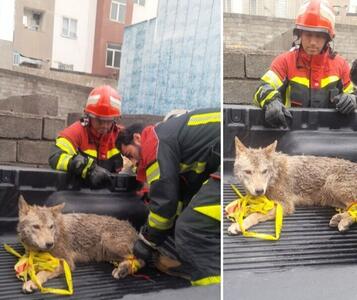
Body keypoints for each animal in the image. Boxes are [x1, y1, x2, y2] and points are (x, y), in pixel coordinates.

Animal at [15, 196, 143, 294]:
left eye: (51, 227)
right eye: (36, 226)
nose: (50, 244)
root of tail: (134, 230)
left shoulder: (67, 262)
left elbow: (42, 273)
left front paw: (32, 282)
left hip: (108, 242)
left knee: (139, 260)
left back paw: (122, 270)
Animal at [227, 137, 356, 236]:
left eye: (264, 171)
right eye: (248, 172)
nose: (259, 191)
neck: (274, 176)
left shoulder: (285, 205)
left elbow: (255, 214)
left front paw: (239, 225)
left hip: (332, 183)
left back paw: (344, 221)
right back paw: (340, 218)